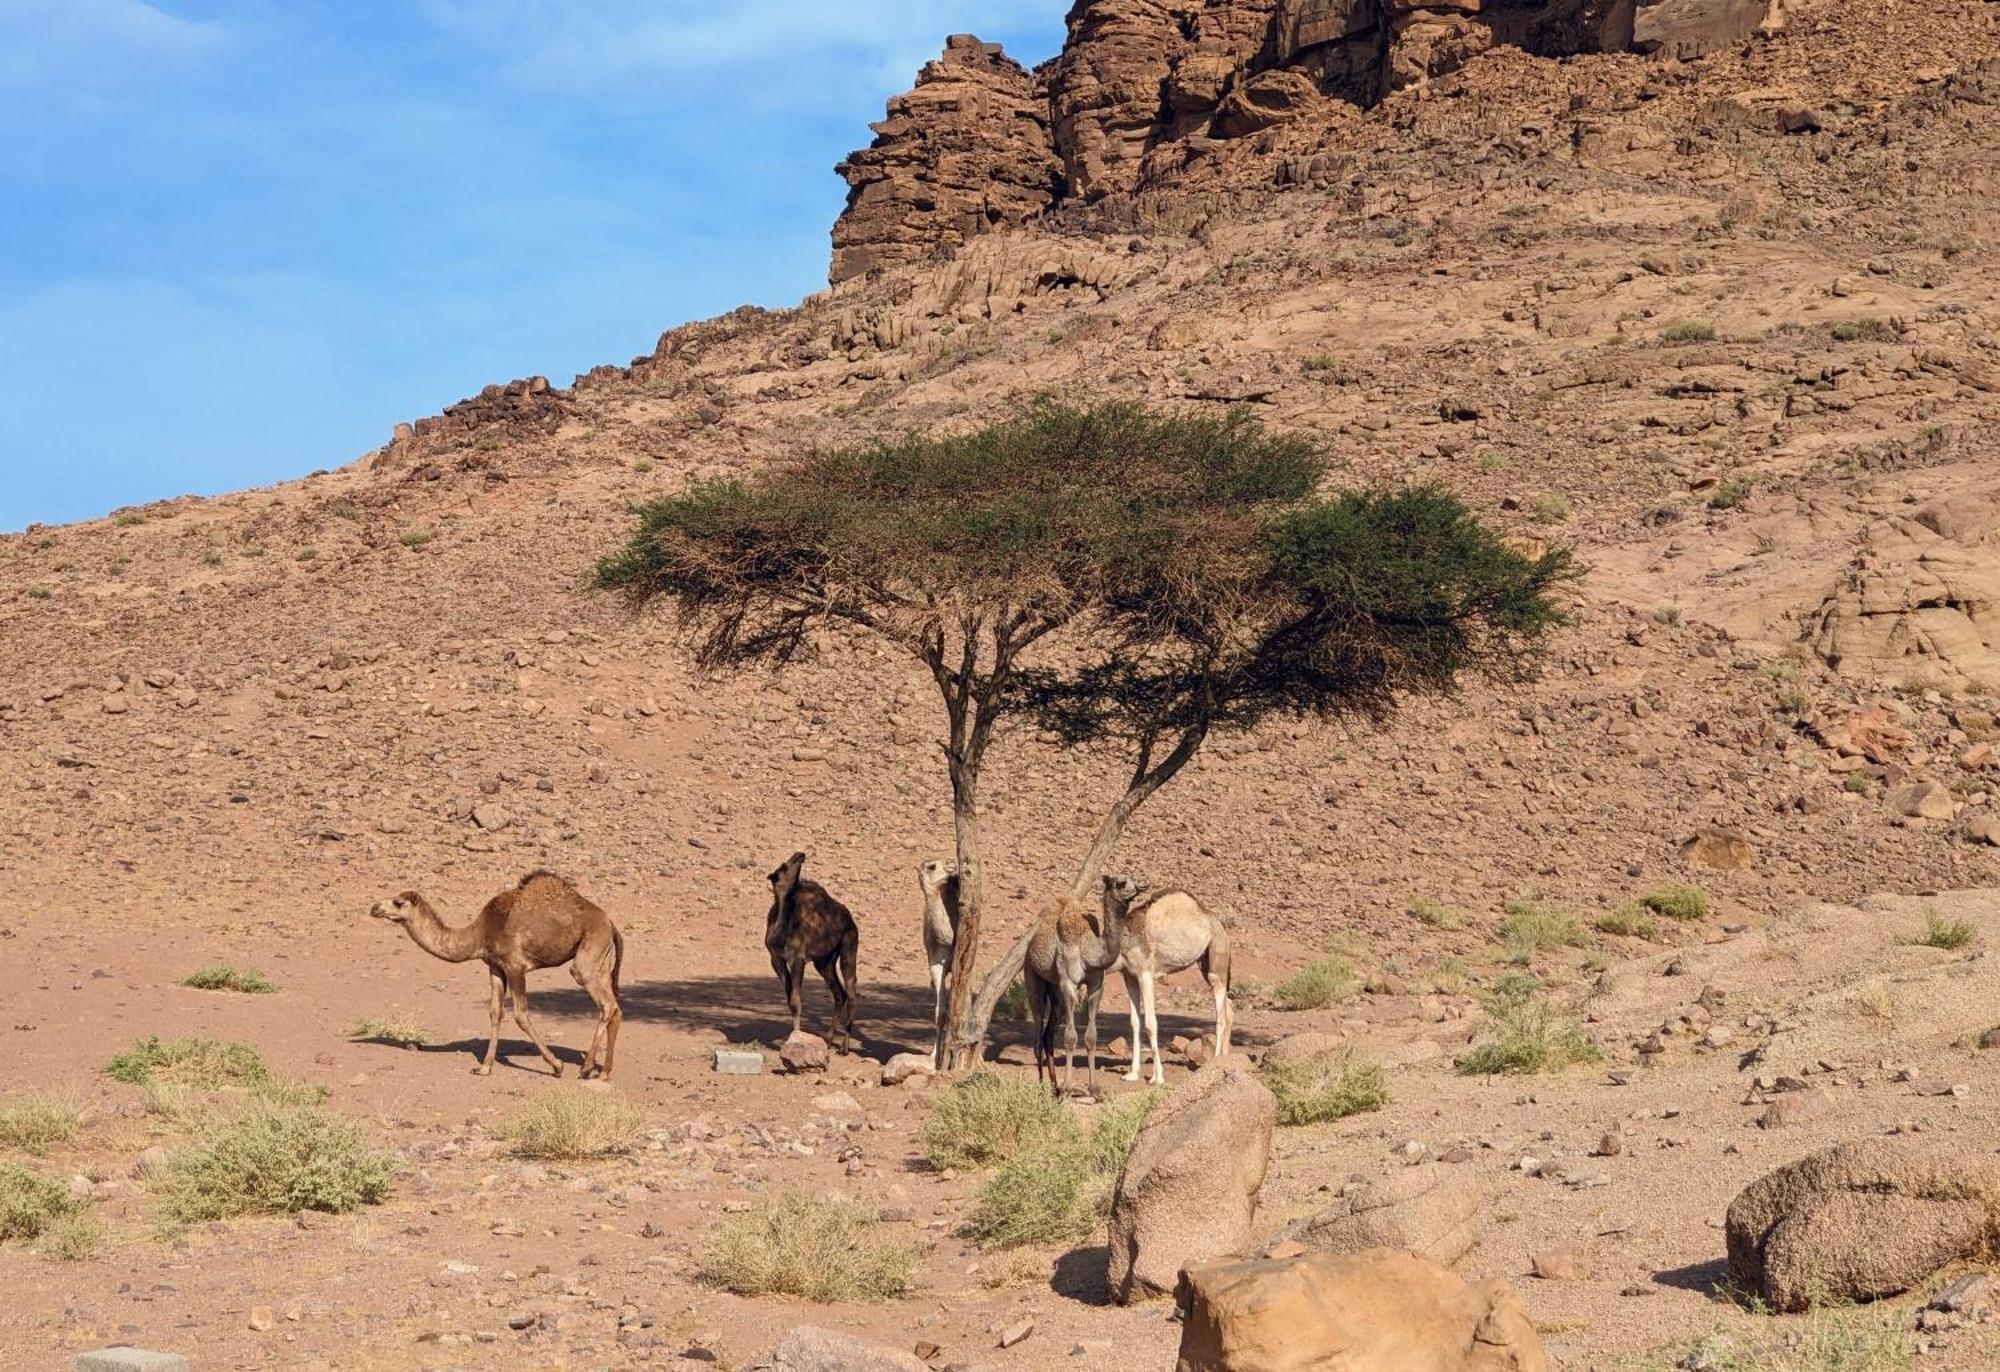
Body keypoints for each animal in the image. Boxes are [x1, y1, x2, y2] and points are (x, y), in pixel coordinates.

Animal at [370, 872, 624, 1088]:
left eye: (398, 902)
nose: (374, 907)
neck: (479, 934)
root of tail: (611, 924)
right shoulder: (495, 967)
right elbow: (495, 1012)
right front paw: (484, 1068)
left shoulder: (515, 966)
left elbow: (520, 1015)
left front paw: (556, 1065)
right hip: (601, 962)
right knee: (615, 1009)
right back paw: (604, 1072)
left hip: (588, 955)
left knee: (606, 1005)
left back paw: (586, 1067)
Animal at [764, 848, 860, 1056]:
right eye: (783, 866)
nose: (799, 854)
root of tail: (849, 917)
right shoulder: (776, 959)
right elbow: (790, 1000)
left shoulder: (798, 959)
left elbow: (795, 1001)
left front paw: (796, 1039)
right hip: (824, 962)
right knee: (839, 993)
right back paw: (828, 1040)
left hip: (849, 944)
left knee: (851, 992)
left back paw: (844, 1047)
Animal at [1032, 892, 1128, 1104]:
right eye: (1119, 885)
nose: (1141, 887)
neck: (1086, 947)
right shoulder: (1068, 983)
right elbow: (1070, 1037)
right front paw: (1068, 1088)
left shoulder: (1096, 984)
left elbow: (1091, 1036)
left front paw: (1094, 1089)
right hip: (1032, 976)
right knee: (1037, 1029)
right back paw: (1042, 1089)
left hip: (1056, 994)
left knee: (1047, 1035)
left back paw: (1054, 1088)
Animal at [1104, 876, 1224, 1088]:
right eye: (1121, 882)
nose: (1141, 885)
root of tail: (1215, 920)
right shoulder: (1129, 975)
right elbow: (1134, 1022)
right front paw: (1132, 1074)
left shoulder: (1145, 972)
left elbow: (1151, 1023)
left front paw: (1157, 1077)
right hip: (1205, 961)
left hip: (1217, 953)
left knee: (1221, 1009)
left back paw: (1216, 1061)